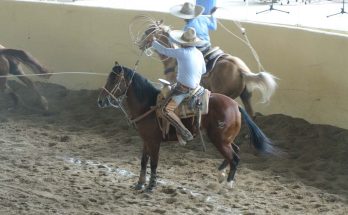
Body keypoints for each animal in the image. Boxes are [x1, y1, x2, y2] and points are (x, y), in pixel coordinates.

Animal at [98, 62, 278, 191]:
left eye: (114, 79)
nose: (100, 101)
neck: (148, 105)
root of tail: (235, 105)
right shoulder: (146, 140)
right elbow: (143, 161)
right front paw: (140, 184)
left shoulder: (154, 142)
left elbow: (154, 163)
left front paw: (151, 186)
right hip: (225, 138)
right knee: (235, 151)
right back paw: (221, 174)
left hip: (219, 140)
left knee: (234, 158)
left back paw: (228, 184)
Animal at [136, 20, 278, 117]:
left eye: (148, 31)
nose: (139, 43)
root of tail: (240, 69)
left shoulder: (173, 85)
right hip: (245, 96)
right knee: (250, 114)